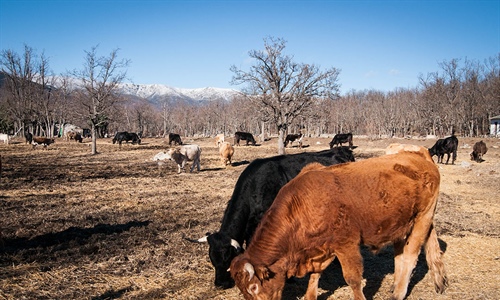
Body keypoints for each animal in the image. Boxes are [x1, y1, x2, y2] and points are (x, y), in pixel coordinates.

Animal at [229, 149, 446, 300]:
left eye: (253, 287)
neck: (302, 204)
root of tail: (419, 154)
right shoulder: (320, 249)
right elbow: (315, 274)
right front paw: (310, 296)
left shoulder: (346, 245)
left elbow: (353, 279)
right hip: (402, 224)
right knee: (402, 254)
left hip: (423, 218)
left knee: (409, 256)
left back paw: (398, 293)